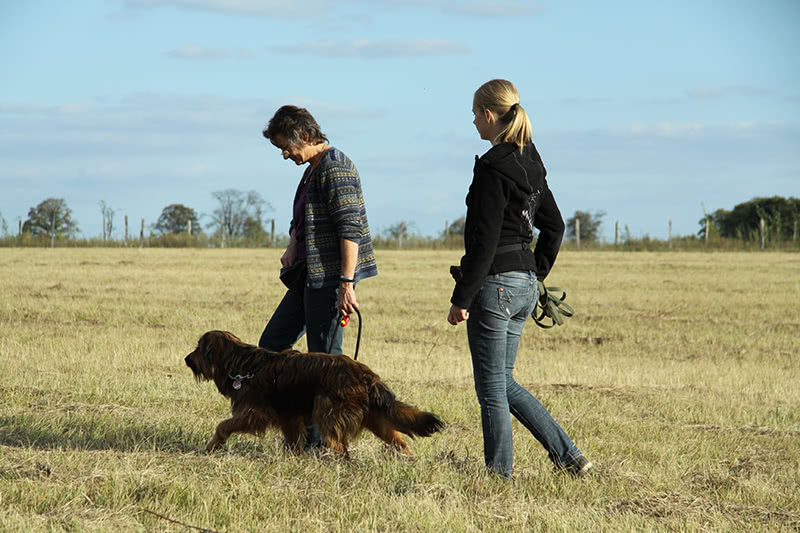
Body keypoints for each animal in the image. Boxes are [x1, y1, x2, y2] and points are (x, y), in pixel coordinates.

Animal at [184, 330, 444, 456]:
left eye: (198, 347)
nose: (186, 359)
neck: (241, 364)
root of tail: (367, 376)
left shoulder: (254, 413)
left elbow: (223, 425)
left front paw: (213, 446)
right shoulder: (289, 417)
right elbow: (292, 441)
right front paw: (293, 459)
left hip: (325, 409)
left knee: (340, 447)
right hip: (377, 420)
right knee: (400, 442)